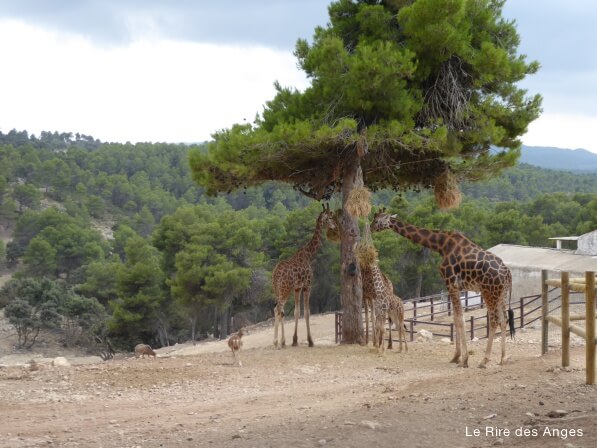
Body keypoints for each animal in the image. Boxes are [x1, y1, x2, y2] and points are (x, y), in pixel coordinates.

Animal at [272, 205, 336, 348]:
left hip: (278, 290)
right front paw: (310, 341)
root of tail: (276, 274)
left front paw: (294, 340)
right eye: (330, 217)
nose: (334, 226)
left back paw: (279, 341)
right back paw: (278, 341)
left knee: (277, 309)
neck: (308, 255)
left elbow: (297, 312)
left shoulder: (297, 288)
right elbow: (307, 312)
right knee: (279, 309)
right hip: (285, 289)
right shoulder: (307, 285)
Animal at [368, 207, 512, 368]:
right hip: (501, 293)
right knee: (503, 319)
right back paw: (503, 358)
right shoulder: (455, 287)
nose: (370, 228)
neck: (441, 245)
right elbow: (456, 318)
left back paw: (484, 360)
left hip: (488, 292)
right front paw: (456, 357)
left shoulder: (450, 283)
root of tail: (507, 273)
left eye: (377, 220)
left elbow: (460, 319)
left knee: (493, 320)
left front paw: (464, 359)